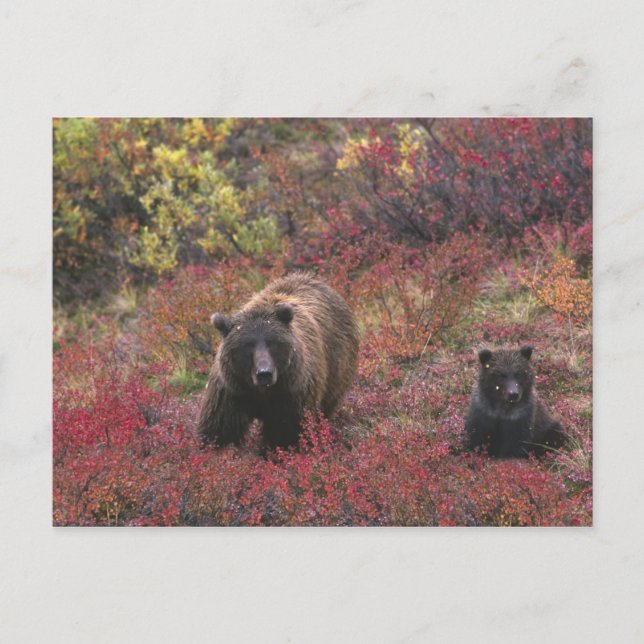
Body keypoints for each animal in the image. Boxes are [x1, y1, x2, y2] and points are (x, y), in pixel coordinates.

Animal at [197, 273, 360, 451]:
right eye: (247, 345)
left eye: (272, 343)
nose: (264, 373)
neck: (261, 392)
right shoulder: (232, 390)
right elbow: (221, 429)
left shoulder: (291, 393)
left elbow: (285, 432)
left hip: (337, 367)